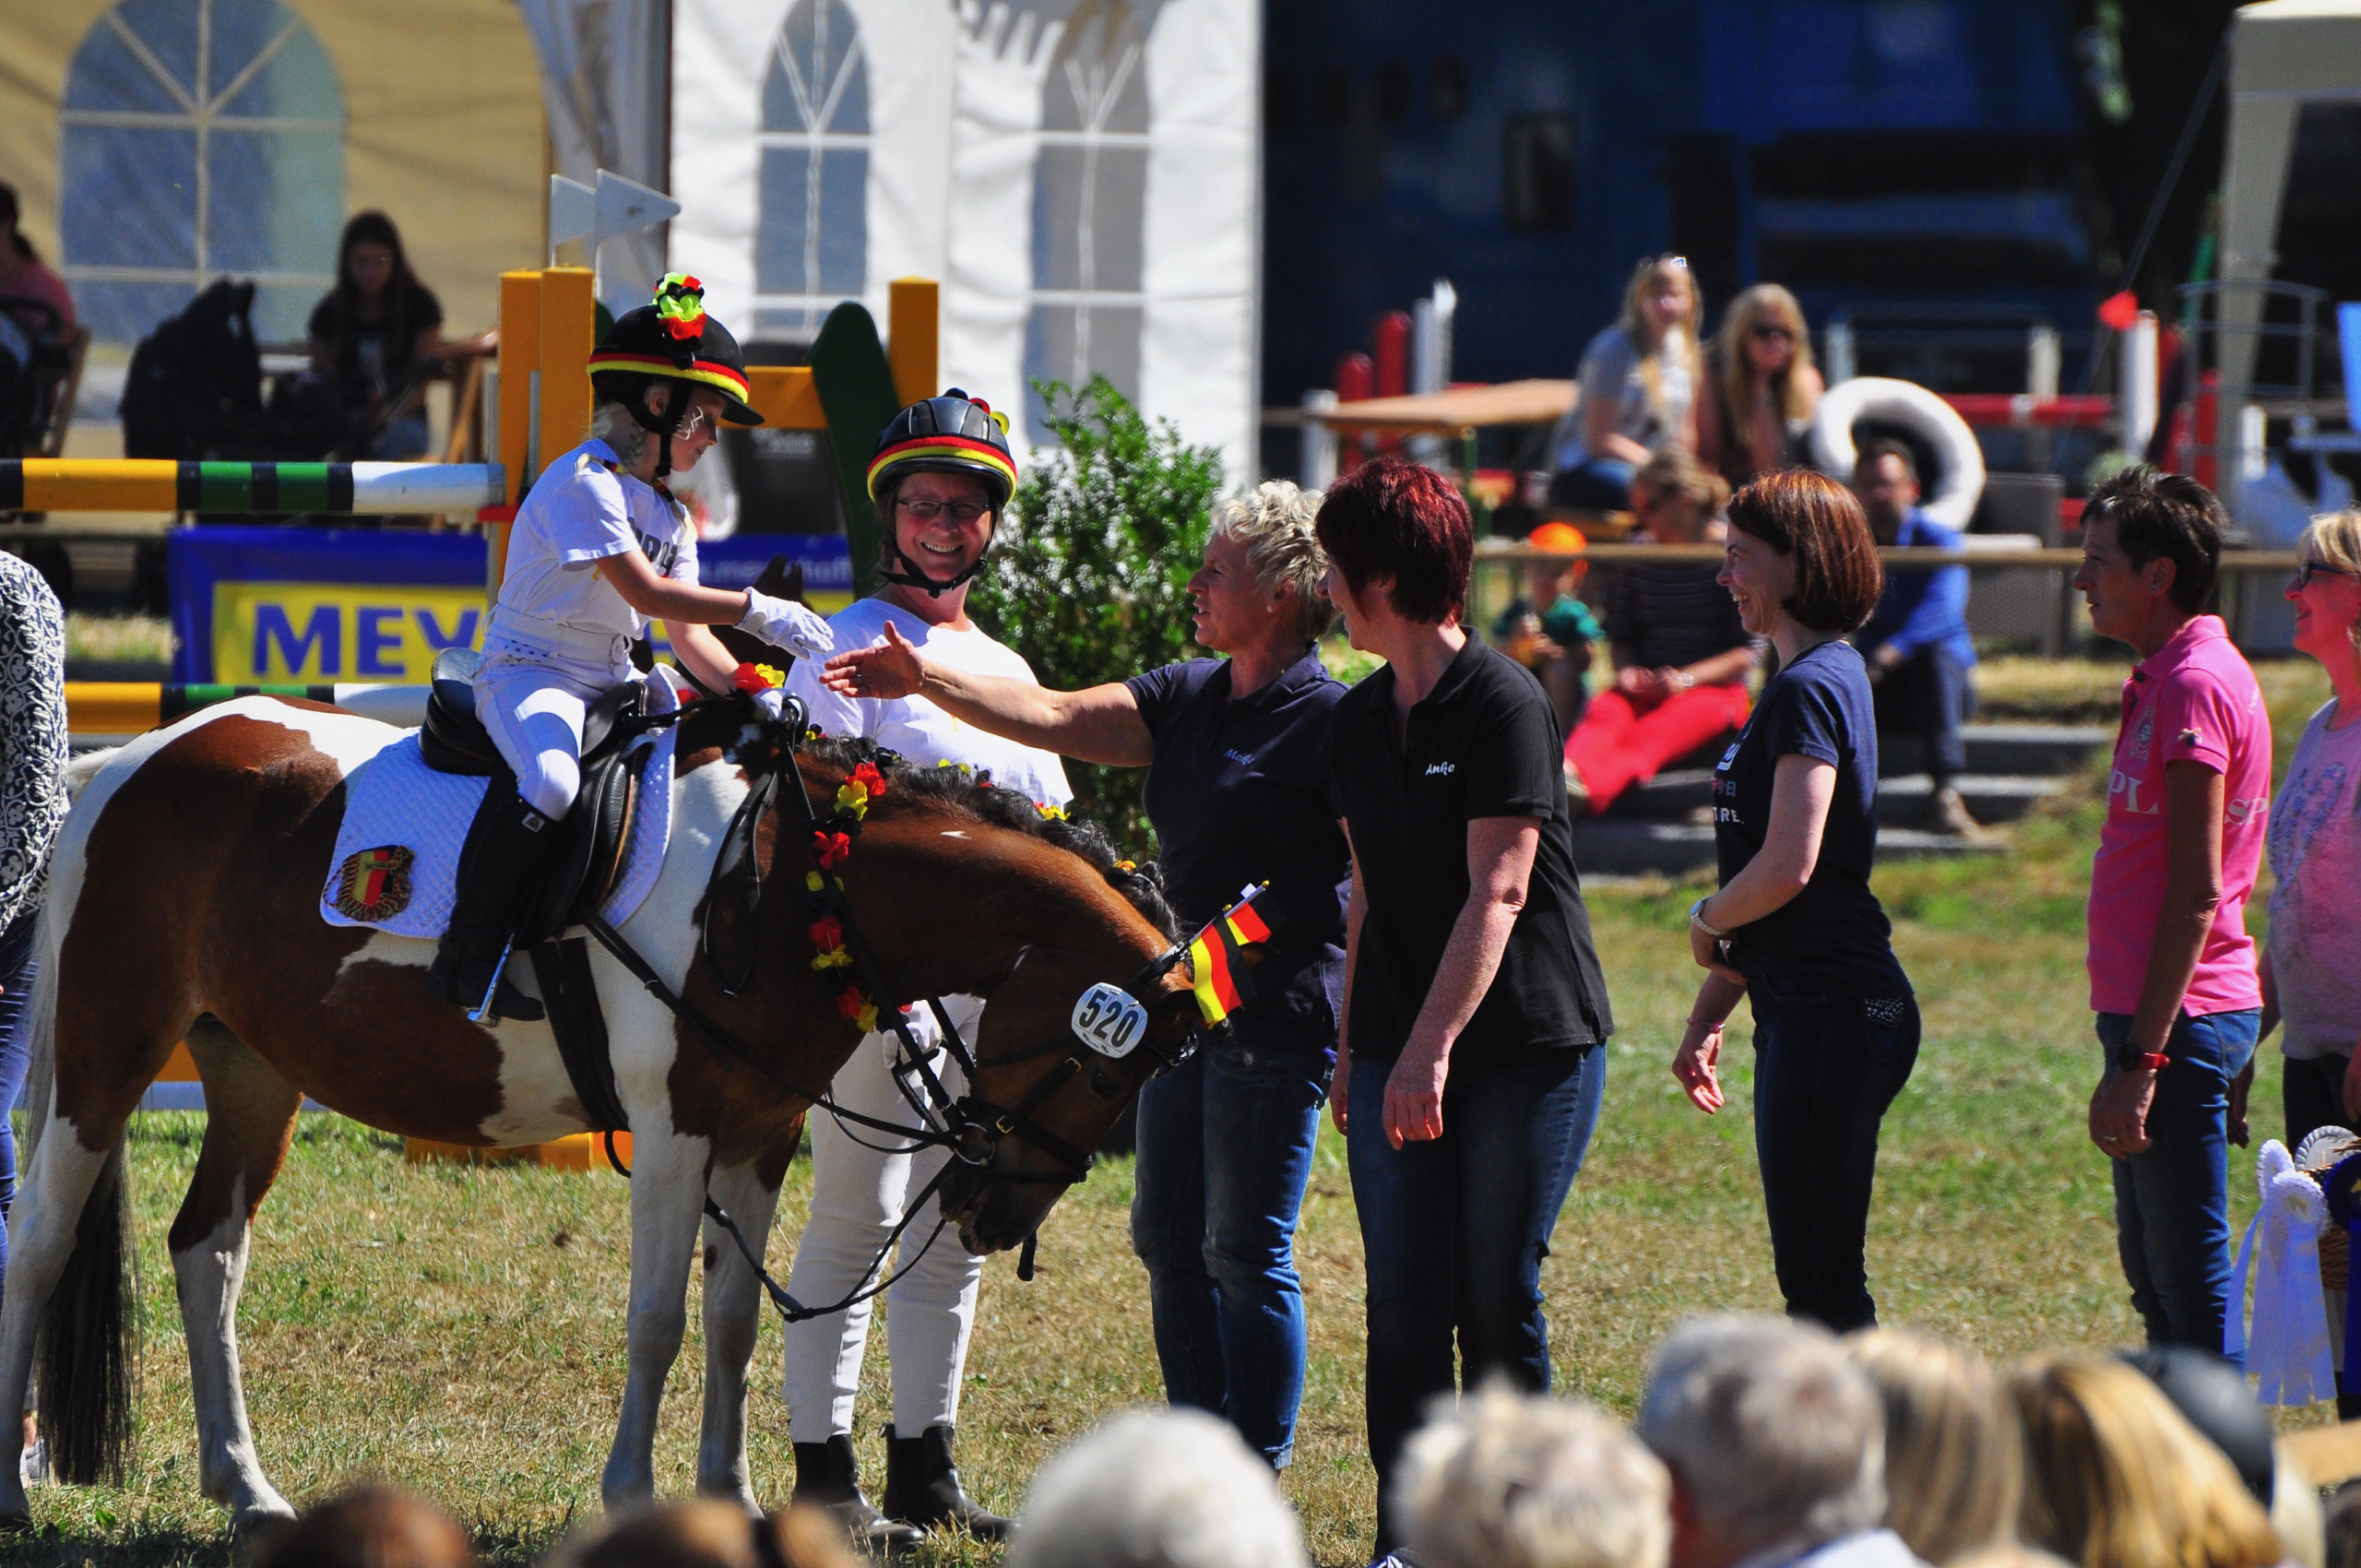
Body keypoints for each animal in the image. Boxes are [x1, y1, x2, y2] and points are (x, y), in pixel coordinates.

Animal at [0, 692, 1201, 1538]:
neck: (784, 882)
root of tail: (133, 759)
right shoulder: (674, 1132)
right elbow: (659, 1318)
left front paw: (732, 1495)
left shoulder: (758, 1138)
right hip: (106, 1057)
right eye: (1108, 1072)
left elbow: (733, 1322)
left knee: (208, 1250)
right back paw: (18, 1495)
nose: (996, 1213)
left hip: (253, 1069)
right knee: (40, 1245)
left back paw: (246, 1484)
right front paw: (633, 1489)